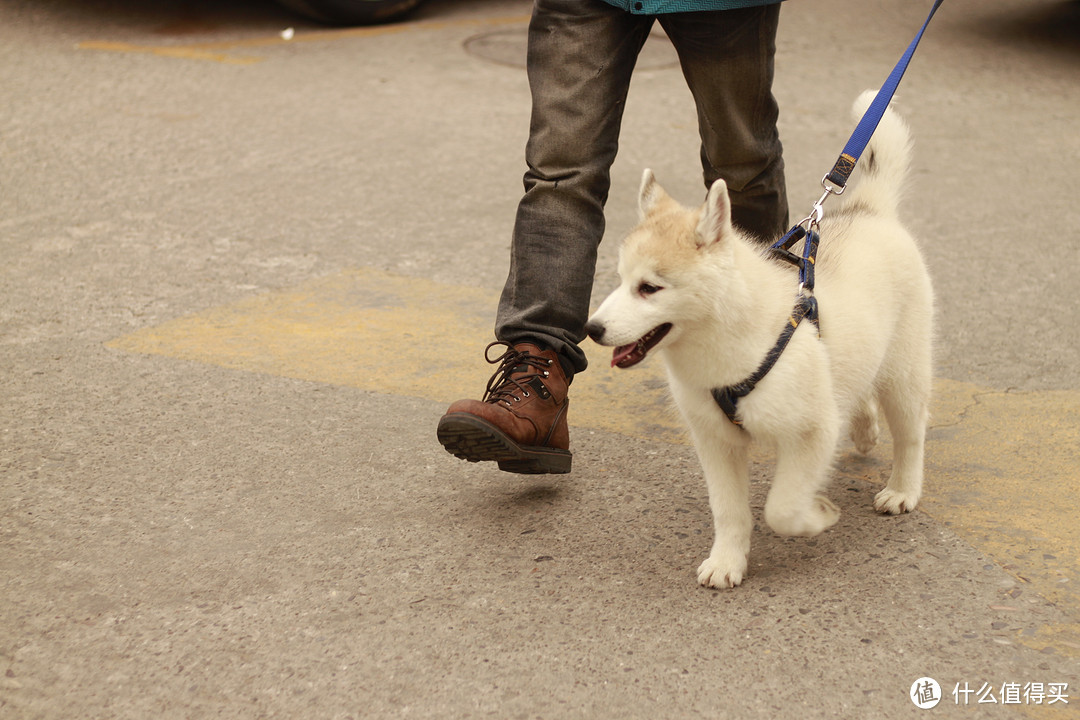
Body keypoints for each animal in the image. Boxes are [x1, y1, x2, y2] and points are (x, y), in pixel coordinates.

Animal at [587, 95, 933, 587]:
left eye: (649, 288)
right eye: (619, 280)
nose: (592, 329)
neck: (729, 348)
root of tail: (868, 210)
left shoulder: (813, 432)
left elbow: (781, 509)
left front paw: (818, 516)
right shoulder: (715, 442)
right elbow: (729, 511)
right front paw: (728, 561)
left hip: (905, 372)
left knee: (910, 433)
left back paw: (903, 489)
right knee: (858, 389)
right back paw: (865, 429)